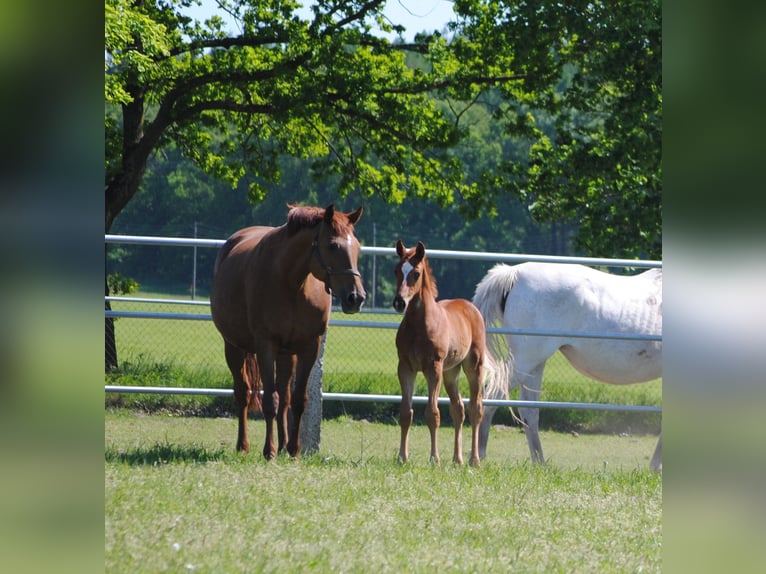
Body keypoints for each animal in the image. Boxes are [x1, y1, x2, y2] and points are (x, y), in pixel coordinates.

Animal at [210, 204, 366, 460]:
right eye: (332, 245)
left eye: (358, 247)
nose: (356, 298)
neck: (292, 284)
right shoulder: (266, 346)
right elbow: (269, 400)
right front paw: (269, 450)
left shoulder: (309, 347)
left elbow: (298, 400)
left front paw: (294, 449)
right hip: (233, 346)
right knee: (243, 393)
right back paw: (244, 446)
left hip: (286, 354)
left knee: (285, 397)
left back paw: (284, 445)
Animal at [393, 240, 494, 467]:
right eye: (396, 270)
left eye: (416, 273)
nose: (399, 302)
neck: (419, 325)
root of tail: (470, 307)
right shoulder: (405, 367)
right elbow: (405, 413)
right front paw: (402, 457)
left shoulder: (433, 367)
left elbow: (432, 413)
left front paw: (434, 458)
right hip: (450, 373)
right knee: (458, 409)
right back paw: (457, 459)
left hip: (473, 367)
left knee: (476, 409)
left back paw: (474, 459)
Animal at [472, 262, 662, 471]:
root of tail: (514, 273)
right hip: (524, 361)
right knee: (491, 397)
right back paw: (478, 457)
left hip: (534, 365)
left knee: (529, 411)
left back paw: (540, 463)